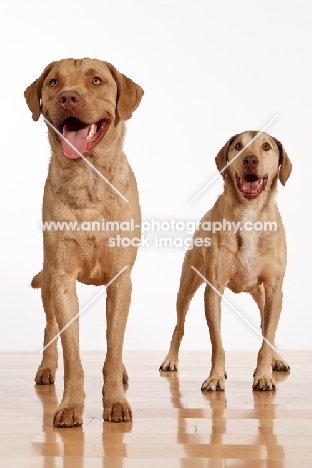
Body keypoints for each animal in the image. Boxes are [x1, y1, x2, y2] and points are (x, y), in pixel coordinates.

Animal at [24, 56, 144, 426]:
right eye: (54, 82)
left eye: (96, 80)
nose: (68, 97)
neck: (87, 181)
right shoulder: (63, 280)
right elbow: (71, 352)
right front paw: (70, 405)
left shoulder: (121, 280)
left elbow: (114, 345)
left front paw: (115, 400)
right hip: (48, 282)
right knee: (50, 329)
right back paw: (46, 368)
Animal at [161, 131, 292, 392]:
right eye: (238, 146)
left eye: (266, 146)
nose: (250, 160)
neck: (250, 214)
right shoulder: (213, 290)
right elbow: (217, 343)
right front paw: (216, 377)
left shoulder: (274, 290)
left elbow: (267, 336)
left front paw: (263, 375)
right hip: (186, 287)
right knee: (179, 325)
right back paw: (171, 359)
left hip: (262, 295)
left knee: (268, 329)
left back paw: (277, 359)